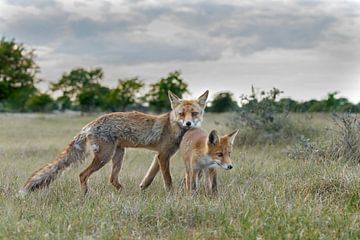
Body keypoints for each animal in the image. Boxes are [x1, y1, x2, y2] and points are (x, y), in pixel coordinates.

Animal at [19, 90, 210, 195]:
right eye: (181, 114)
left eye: (194, 113)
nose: (189, 124)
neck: (173, 126)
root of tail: (90, 124)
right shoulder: (163, 156)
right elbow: (168, 179)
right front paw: (171, 195)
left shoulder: (159, 156)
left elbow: (149, 177)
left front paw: (143, 188)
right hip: (105, 156)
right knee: (82, 175)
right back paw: (85, 196)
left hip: (118, 155)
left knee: (112, 179)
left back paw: (125, 194)